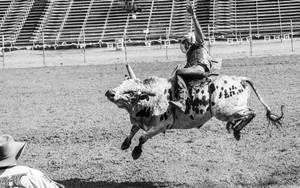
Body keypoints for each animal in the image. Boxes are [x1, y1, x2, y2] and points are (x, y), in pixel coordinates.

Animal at [105, 64, 284, 159]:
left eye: (131, 92)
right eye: (122, 84)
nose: (110, 92)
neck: (151, 98)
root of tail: (239, 79)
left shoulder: (161, 126)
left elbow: (142, 137)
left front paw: (136, 151)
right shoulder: (140, 121)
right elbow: (133, 129)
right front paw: (125, 143)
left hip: (222, 110)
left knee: (251, 112)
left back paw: (236, 129)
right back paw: (233, 126)